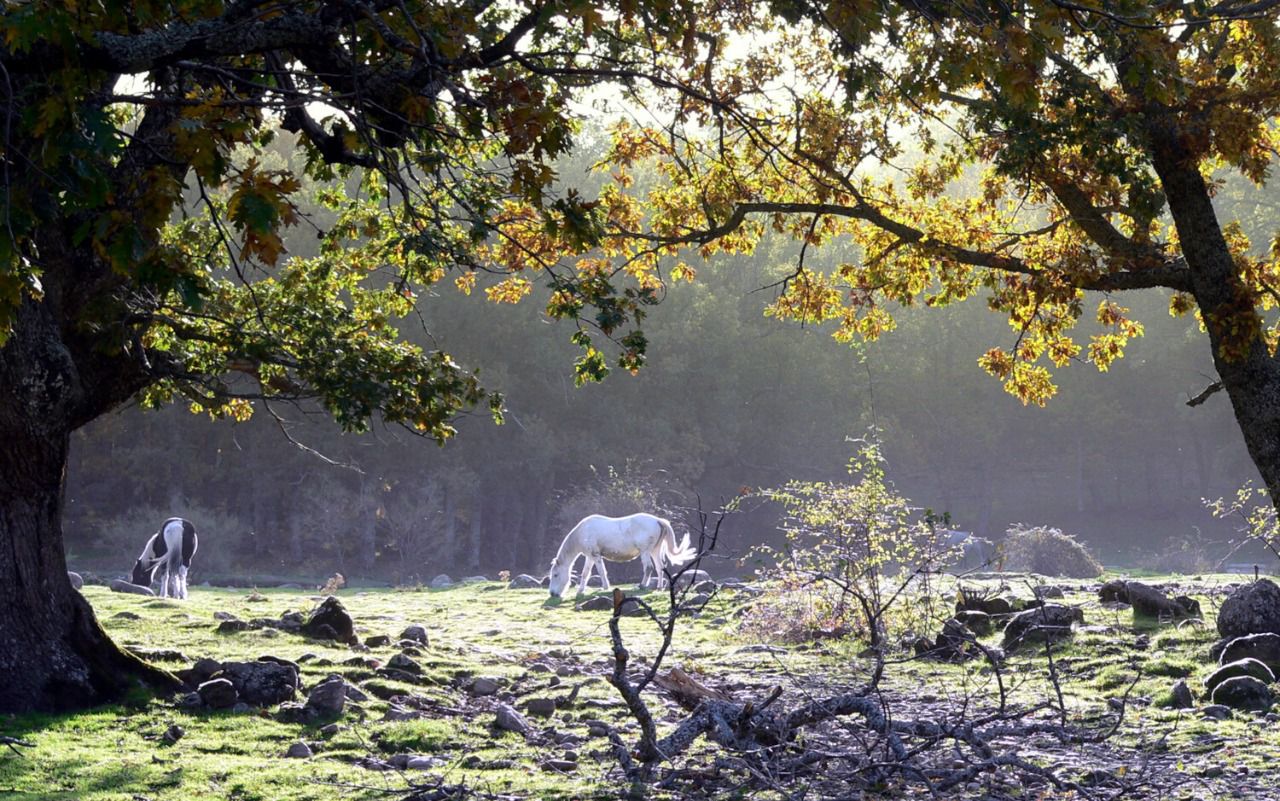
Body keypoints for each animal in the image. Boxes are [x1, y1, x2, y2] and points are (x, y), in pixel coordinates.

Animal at [545, 514, 696, 596]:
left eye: (555, 575)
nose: (552, 594)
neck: (582, 532)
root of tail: (658, 520)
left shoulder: (595, 555)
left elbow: (601, 571)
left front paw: (605, 587)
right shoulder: (590, 556)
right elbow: (585, 573)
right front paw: (580, 591)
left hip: (645, 551)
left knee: (648, 568)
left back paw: (642, 586)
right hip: (654, 550)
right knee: (660, 567)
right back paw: (659, 587)